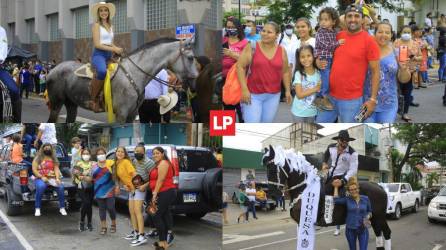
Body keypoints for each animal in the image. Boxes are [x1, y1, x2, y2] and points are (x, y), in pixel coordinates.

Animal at [46, 37, 198, 122]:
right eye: (190, 58)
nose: (194, 83)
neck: (134, 74)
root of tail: (52, 70)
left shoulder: (132, 114)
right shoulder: (121, 114)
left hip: (71, 104)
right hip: (56, 104)